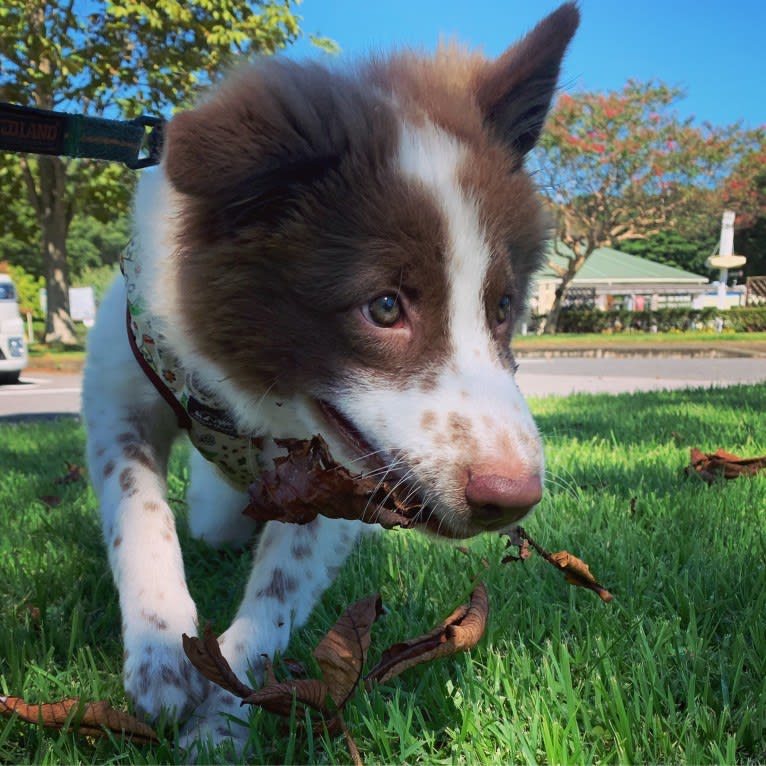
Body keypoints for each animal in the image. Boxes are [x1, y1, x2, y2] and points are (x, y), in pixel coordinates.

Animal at [81, 3, 580, 752]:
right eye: (384, 307)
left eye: (502, 306)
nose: (513, 500)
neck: (266, 397)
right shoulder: (120, 382)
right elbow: (136, 510)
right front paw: (162, 656)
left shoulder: (348, 480)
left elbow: (281, 593)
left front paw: (222, 722)